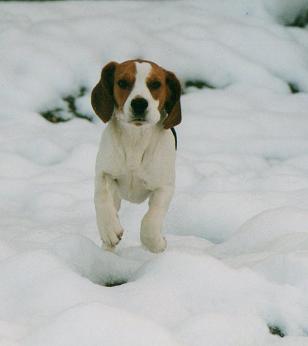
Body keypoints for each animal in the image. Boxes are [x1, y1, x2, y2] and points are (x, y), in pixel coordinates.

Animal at [90, 59, 182, 253]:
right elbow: (101, 196)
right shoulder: (103, 172)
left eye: (155, 84)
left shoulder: (165, 187)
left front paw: (157, 243)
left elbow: (151, 221)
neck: (135, 139)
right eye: (122, 83)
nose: (139, 103)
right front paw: (109, 230)